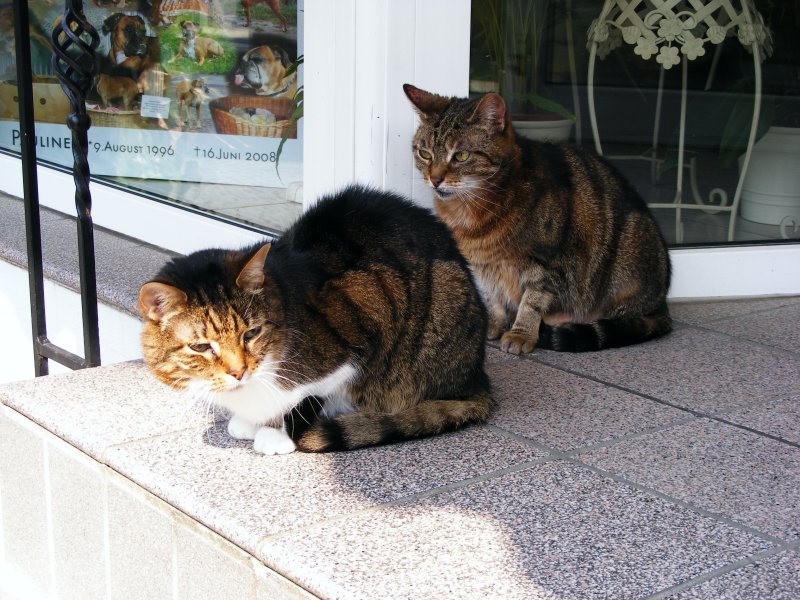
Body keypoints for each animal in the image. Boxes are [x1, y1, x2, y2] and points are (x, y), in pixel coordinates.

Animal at [136, 185, 494, 452]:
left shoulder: (361, 333)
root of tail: (476, 377)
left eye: (250, 334)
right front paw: (251, 422)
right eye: (200, 347)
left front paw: (277, 433)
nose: (239, 372)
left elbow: (309, 397)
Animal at [404, 85, 672, 356]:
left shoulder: (550, 262)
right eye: (425, 154)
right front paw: (495, 322)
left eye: (460, 156)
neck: (471, 211)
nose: (434, 179)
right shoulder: (486, 266)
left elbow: (532, 302)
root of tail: (662, 306)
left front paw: (521, 333)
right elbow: (493, 297)